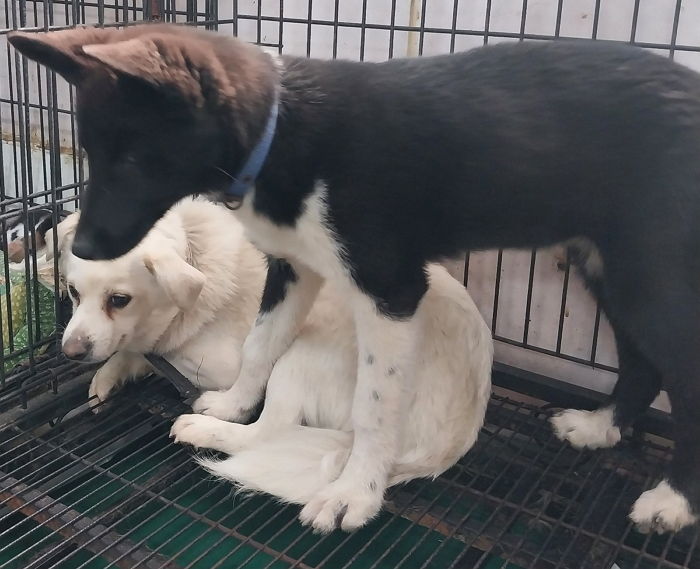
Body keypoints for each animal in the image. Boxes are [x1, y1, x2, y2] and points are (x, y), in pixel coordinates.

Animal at [56, 199, 492, 510]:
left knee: (264, 430)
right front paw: (107, 377)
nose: (71, 352)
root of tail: (445, 444)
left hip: (300, 356)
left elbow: (160, 357)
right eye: (73, 292)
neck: (197, 250)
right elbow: (133, 352)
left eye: (119, 299)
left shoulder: (218, 365)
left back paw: (203, 427)